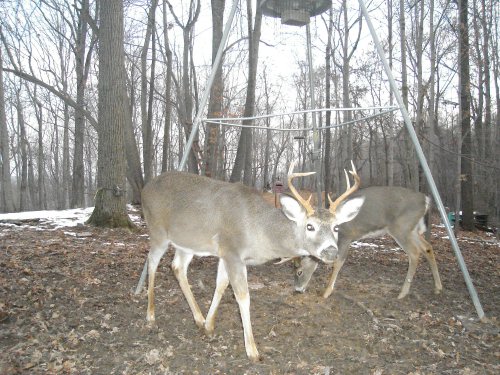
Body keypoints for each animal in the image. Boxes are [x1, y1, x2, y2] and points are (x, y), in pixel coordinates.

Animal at [139, 161, 366, 362]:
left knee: (177, 267)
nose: (331, 251)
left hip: (187, 243)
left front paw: (209, 326)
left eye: (336, 227)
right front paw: (253, 351)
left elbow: (220, 285)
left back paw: (198, 318)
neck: (259, 229)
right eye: (310, 226)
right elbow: (242, 296)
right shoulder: (232, 251)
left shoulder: (227, 254)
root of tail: (145, 188)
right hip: (157, 231)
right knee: (152, 261)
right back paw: (150, 316)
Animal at [292, 166, 442, 302]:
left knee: (414, 253)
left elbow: (338, 262)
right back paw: (438, 287)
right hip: (412, 229)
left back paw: (402, 293)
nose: (297, 290)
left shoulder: (346, 236)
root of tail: (425, 200)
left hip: (401, 228)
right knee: (427, 247)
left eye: (299, 271)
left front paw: (326, 292)